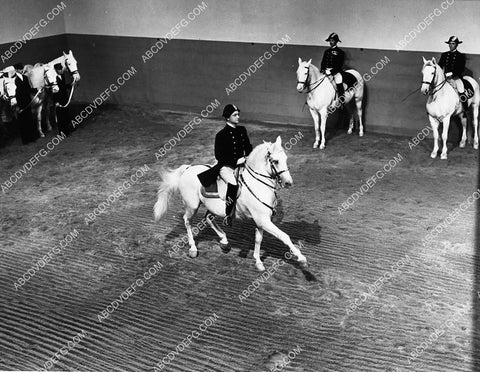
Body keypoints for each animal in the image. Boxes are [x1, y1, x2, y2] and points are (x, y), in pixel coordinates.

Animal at [154, 135, 308, 272]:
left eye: (286, 159)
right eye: (275, 161)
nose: (288, 183)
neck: (258, 183)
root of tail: (188, 169)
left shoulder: (261, 221)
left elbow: (258, 239)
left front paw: (258, 262)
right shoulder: (263, 220)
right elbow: (284, 236)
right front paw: (302, 259)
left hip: (212, 208)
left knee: (208, 219)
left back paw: (224, 241)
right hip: (192, 206)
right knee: (187, 221)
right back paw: (193, 248)